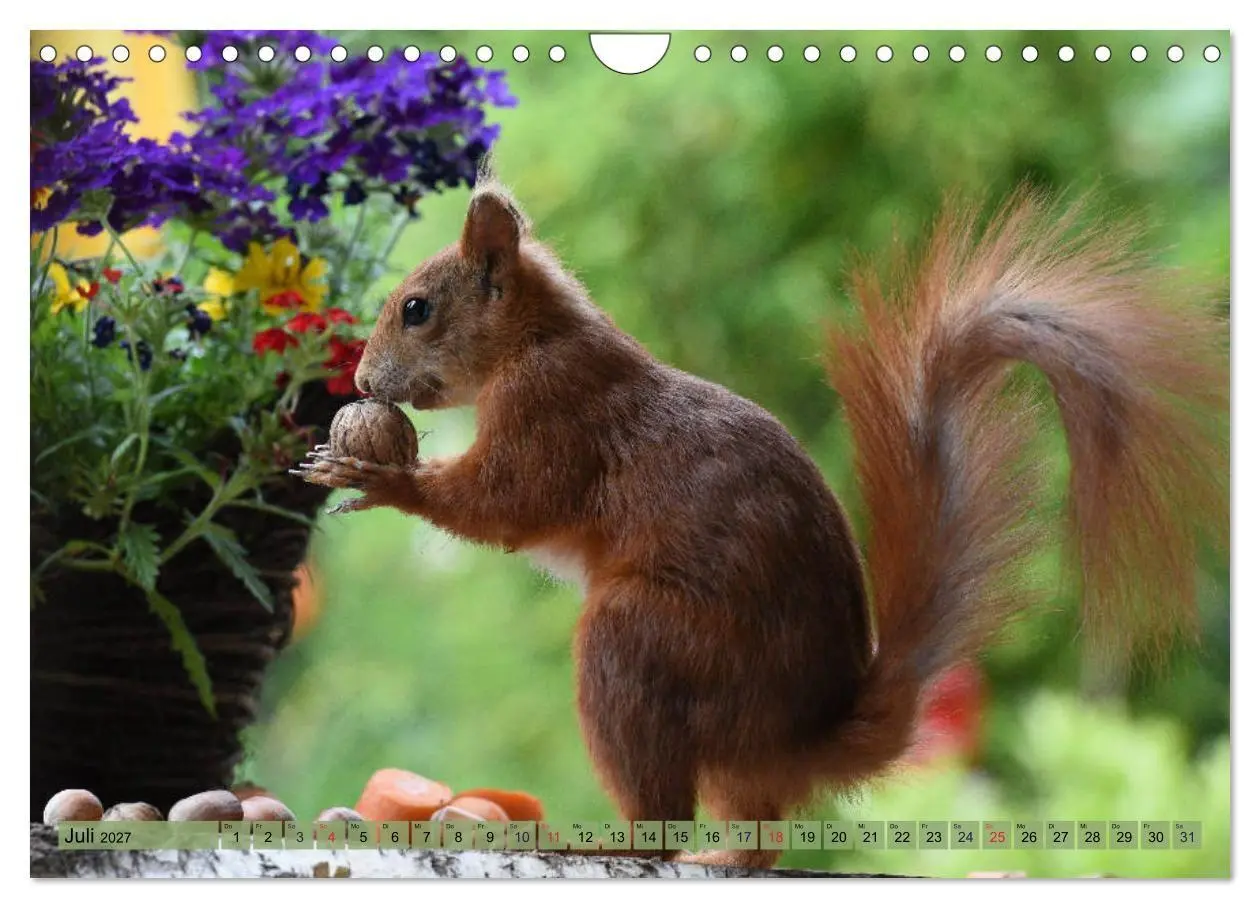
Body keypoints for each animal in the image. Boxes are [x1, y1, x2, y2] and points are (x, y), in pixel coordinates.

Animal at [295, 170, 1228, 868]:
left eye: (417, 308)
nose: (364, 383)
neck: (539, 338)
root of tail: (799, 733)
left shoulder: (556, 415)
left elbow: (507, 503)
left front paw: (380, 474)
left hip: (644, 642)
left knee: (666, 828)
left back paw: (610, 846)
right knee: (758, 839)